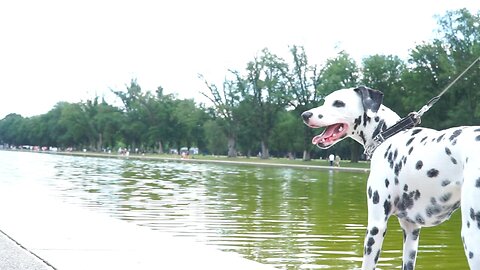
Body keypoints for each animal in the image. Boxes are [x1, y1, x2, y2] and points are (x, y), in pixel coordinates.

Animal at [300, 86, 480, 268]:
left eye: (338, 103)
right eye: (325, 101)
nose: (305, 115)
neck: (387, 135)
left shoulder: (376, 225)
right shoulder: (411, 229)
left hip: (471, 235)